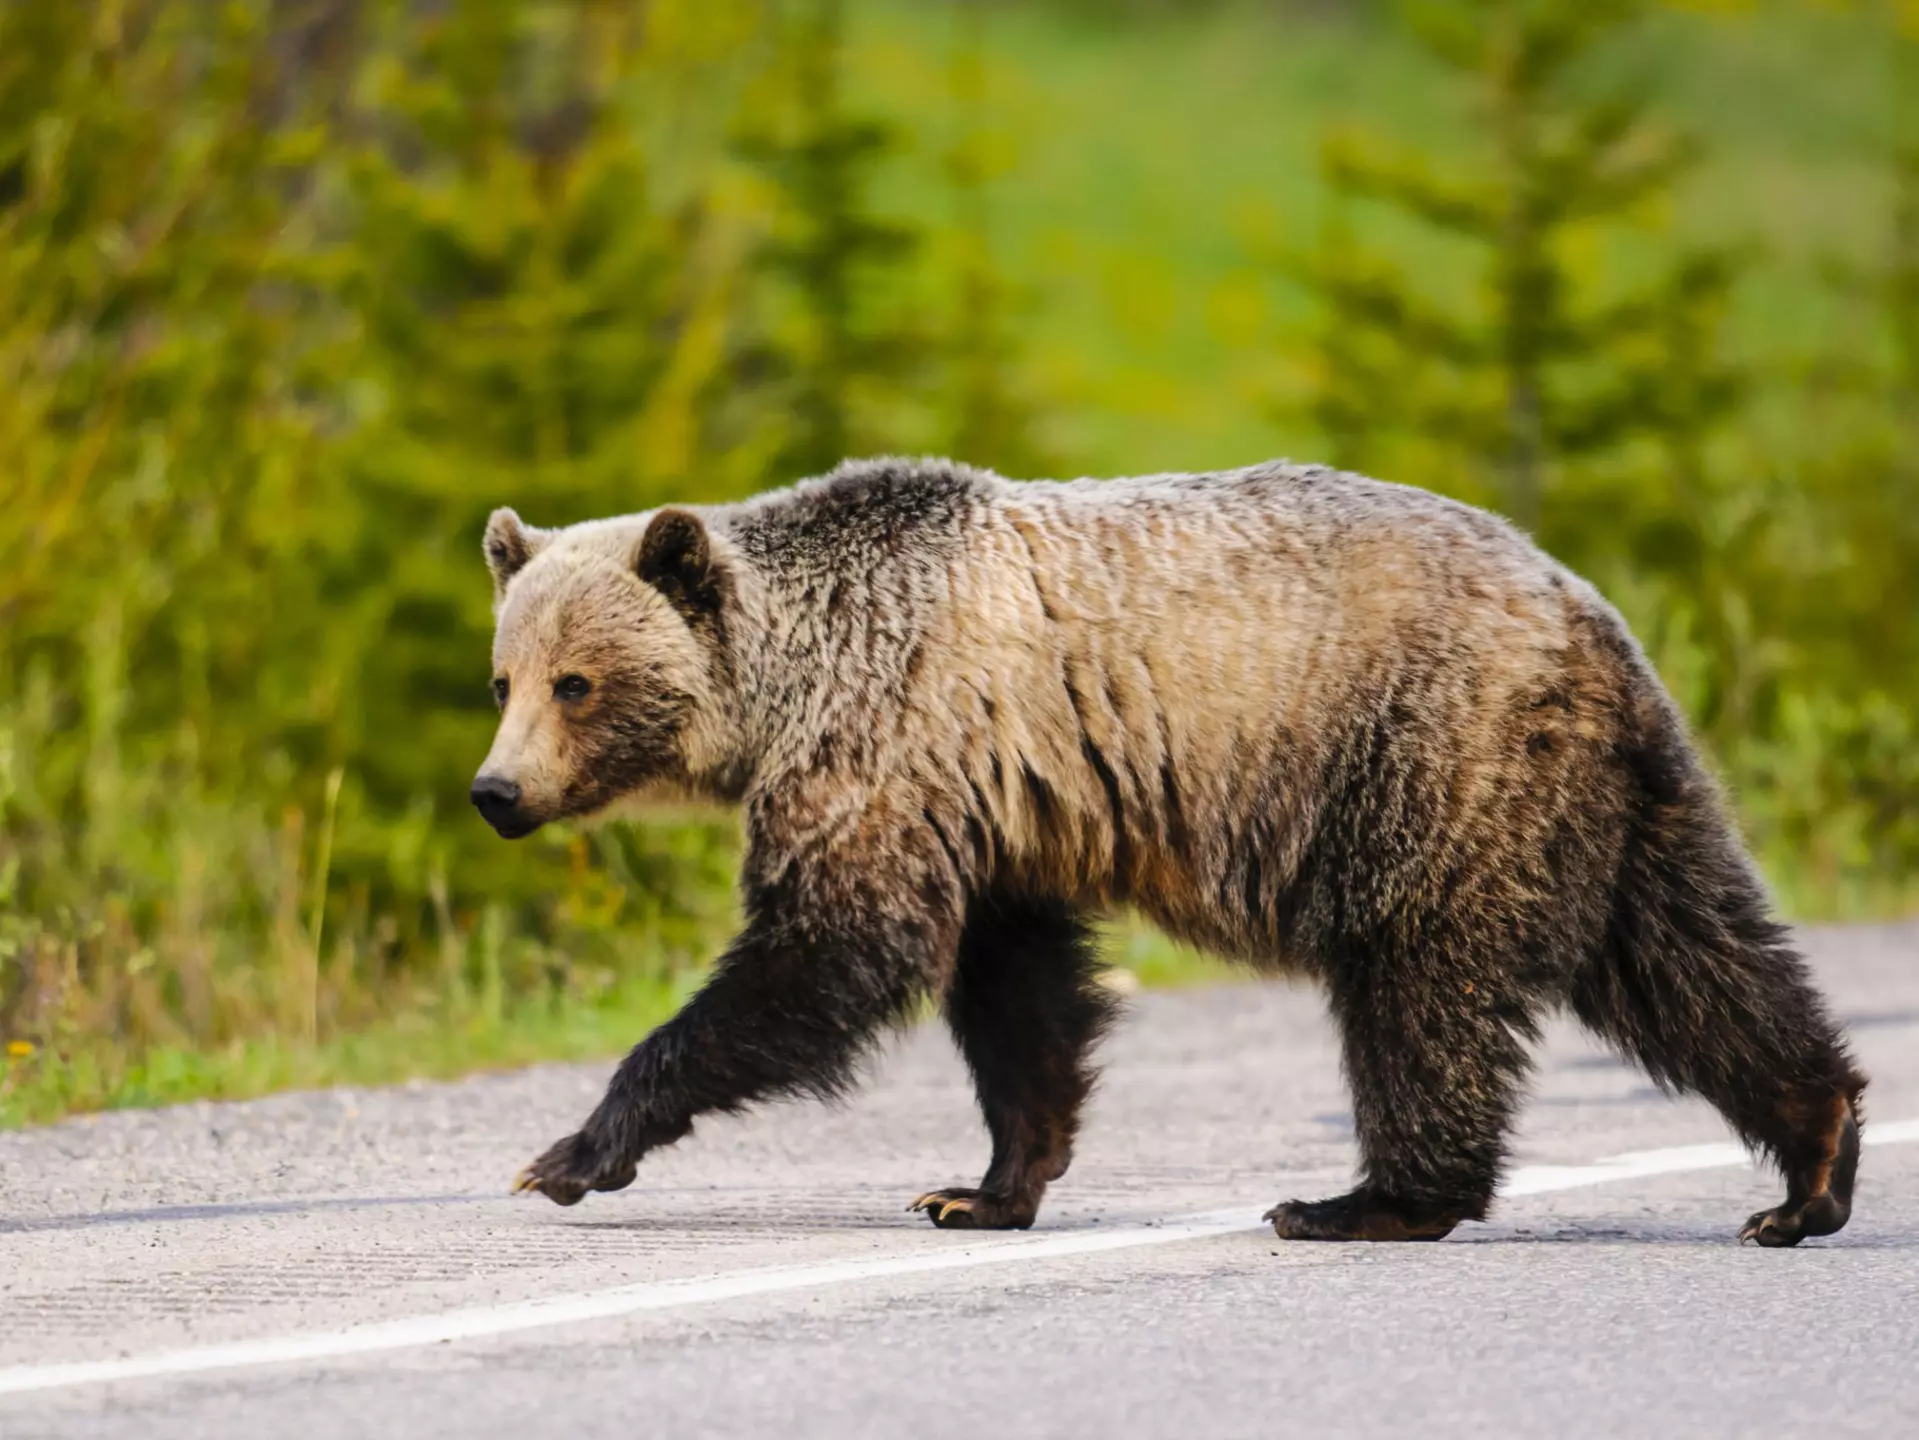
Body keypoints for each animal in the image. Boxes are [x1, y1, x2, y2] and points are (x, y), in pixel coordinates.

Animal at [471, 457, 1865, 1246]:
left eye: (576, 681)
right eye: (502, 676)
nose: (494, 791)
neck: (788, 677)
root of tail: (1583, 610)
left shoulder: (892, 743)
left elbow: (832, 951)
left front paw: (567, 1155)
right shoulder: (997, 804)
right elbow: (1016, 994)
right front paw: (982, 1187)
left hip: (1425, 761)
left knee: (1419, 990)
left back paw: (1363, 1203)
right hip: (1599, 796)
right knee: (1691, 955)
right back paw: (1810, 1165)